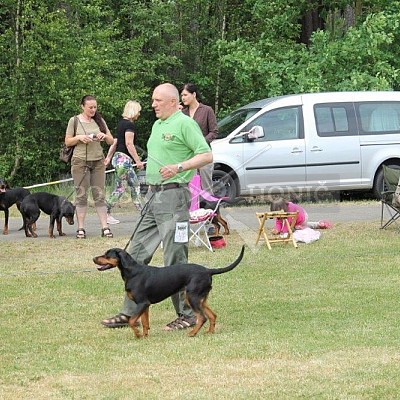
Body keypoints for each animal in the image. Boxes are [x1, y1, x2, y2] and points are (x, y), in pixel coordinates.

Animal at [94, 245, 244, 336]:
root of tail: (208, 270)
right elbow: (145, 323)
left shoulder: (142, 303)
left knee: (202, 317)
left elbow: (131, 321)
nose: (94, 258)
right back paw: (209, 332)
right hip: (200, 299)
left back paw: (192, 333)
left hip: (192, 298)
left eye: (107, 255)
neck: (132, 271)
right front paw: (144, 336)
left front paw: (137, 335)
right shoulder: (145, 305)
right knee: (213, 315)